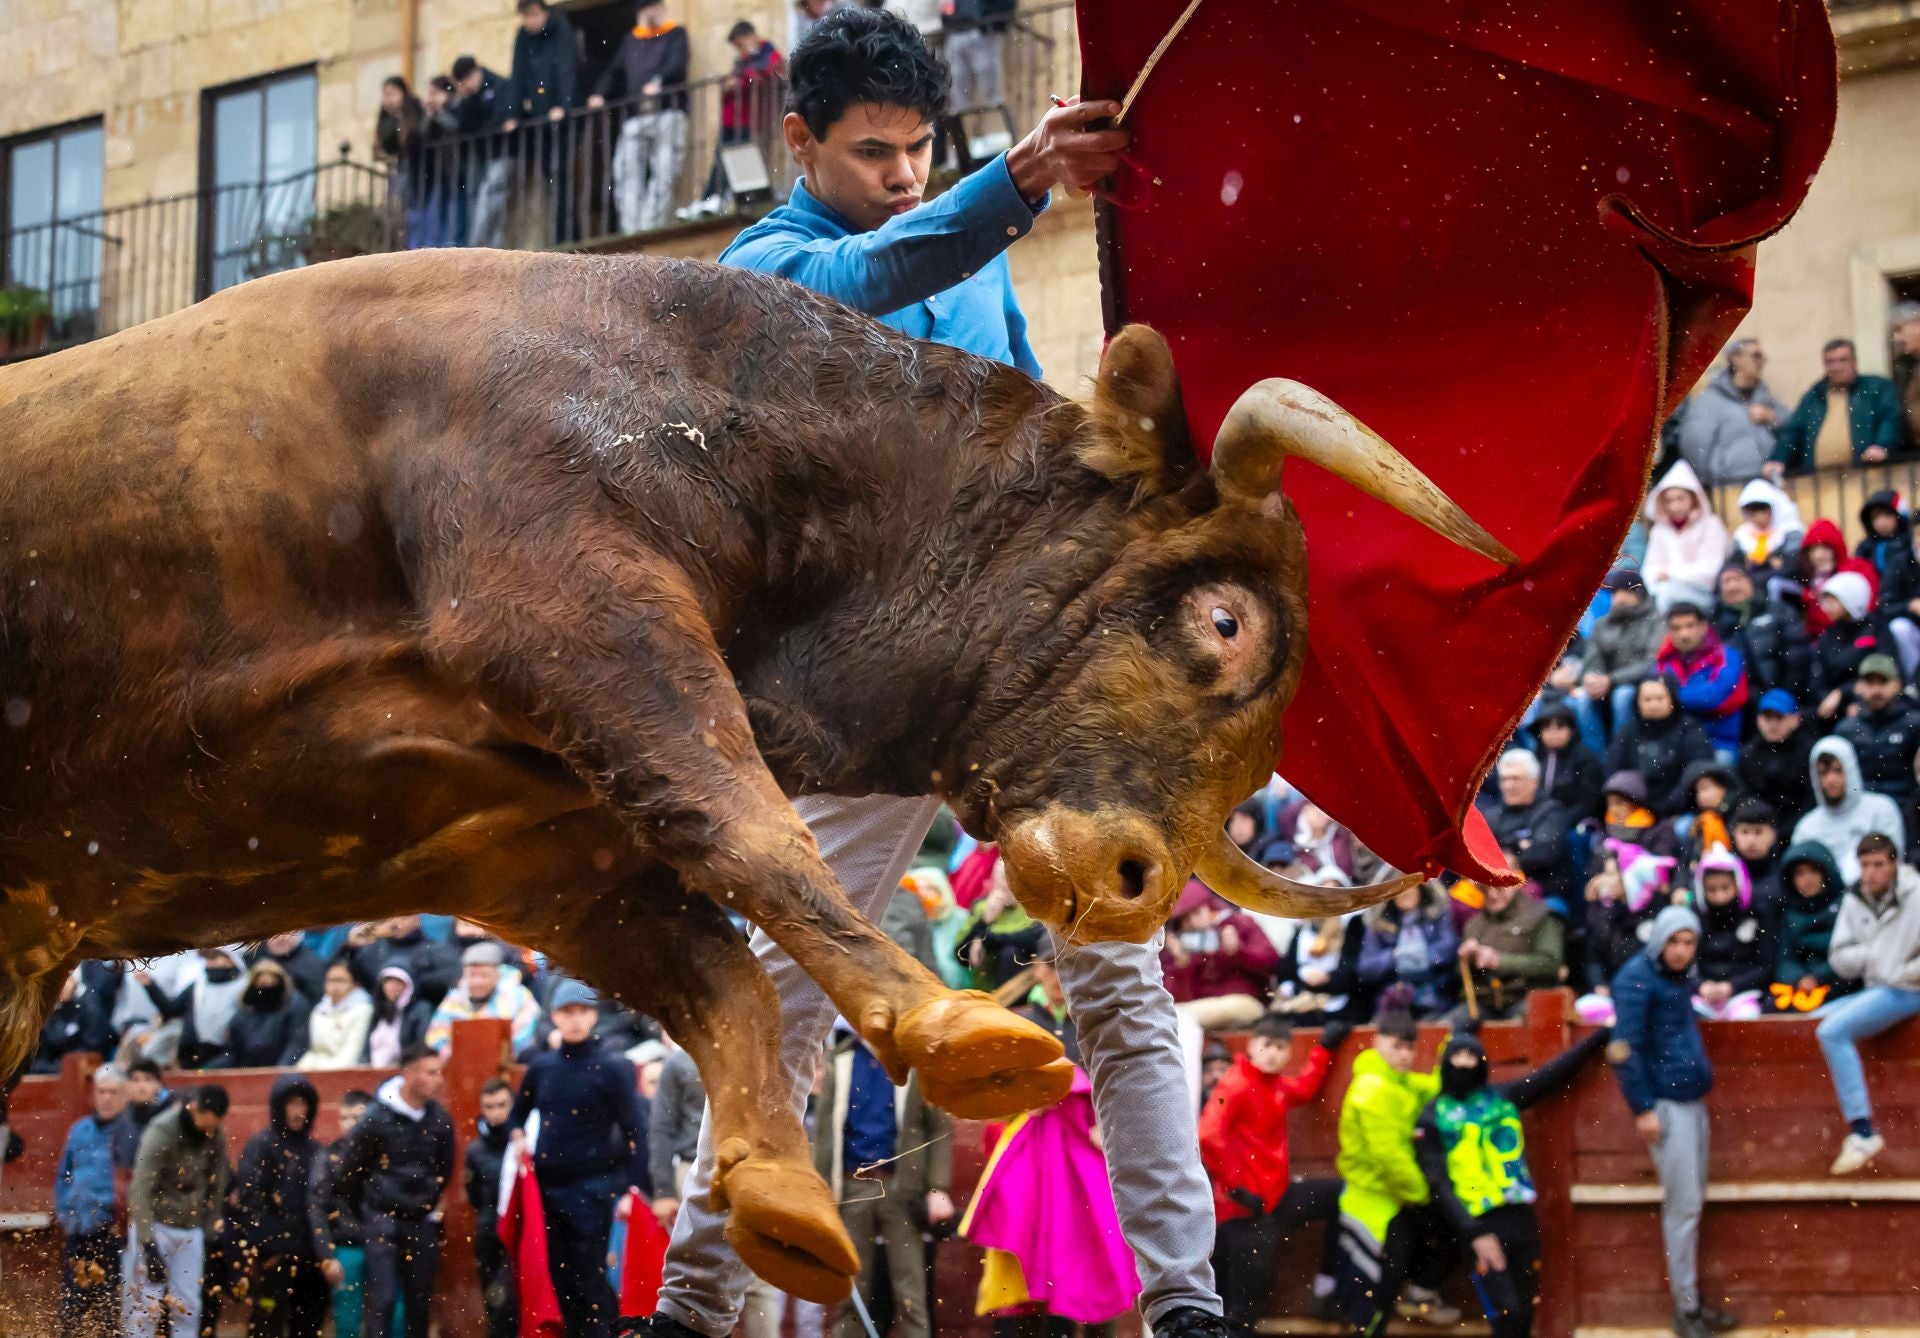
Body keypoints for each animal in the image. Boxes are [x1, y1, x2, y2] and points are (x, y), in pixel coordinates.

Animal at [0, 247, 1505, 1297]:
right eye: (1226, 621)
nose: (1139, 881)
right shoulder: (572, 614)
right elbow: (751, 833)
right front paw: (969, 1033)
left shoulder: (513, 843)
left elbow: (714, 960)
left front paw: (780, 1190)